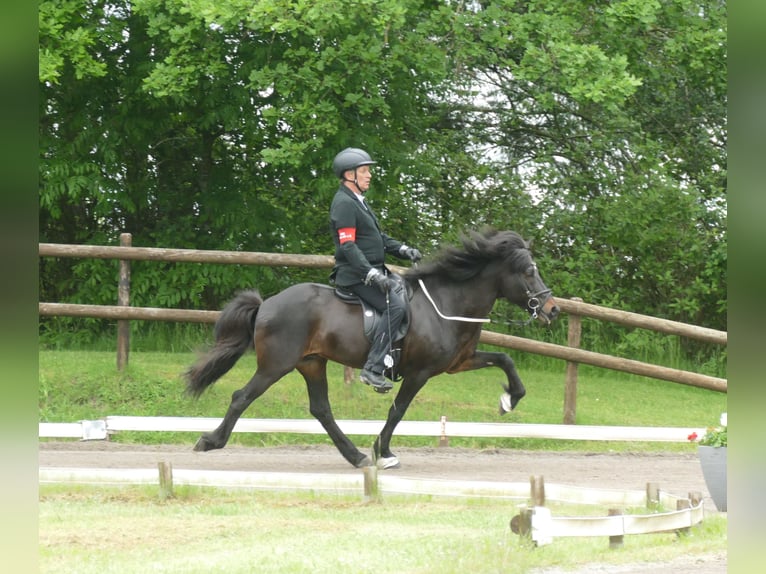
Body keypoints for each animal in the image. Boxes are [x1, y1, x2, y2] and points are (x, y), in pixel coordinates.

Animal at [186, 232, 560, 470]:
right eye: (529, 271)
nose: (552, 309)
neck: (447, 303)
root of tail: (267, 304)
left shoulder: (459, 362)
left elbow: (505, 359)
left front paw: (509, 400)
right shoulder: (420, 372)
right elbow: (398, 411)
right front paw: (384, 451)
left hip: (311, 363)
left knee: (321, 409)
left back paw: (355, 457)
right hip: (276, 365)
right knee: (242, 396)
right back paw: (210, 441)